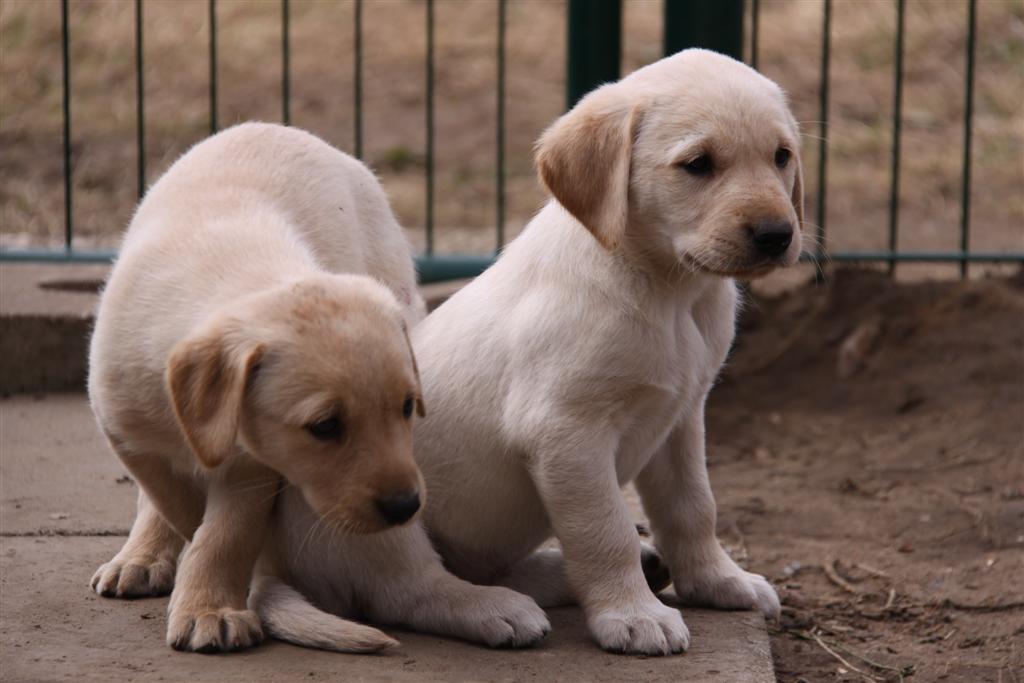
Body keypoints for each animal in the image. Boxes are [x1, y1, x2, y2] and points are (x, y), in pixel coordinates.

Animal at [90, 121, 552, 651]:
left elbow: (225, 533)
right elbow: (173, 502)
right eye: (325, 426)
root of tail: (283, 129)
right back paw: (139, 558)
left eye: (407, 408)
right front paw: (203, 594)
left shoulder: (252, 464)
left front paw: (211, 605)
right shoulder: (127, 434)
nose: (406, 507)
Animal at [407, 49, 798, 655]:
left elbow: (693, 507)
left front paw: (717, 581)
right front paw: (633, 616)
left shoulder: (681, 417)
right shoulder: (566, 432)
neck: (670, 293)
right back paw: (493, 611)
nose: (778, 235)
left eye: (781, 156)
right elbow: (604, 529)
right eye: (698, 164)